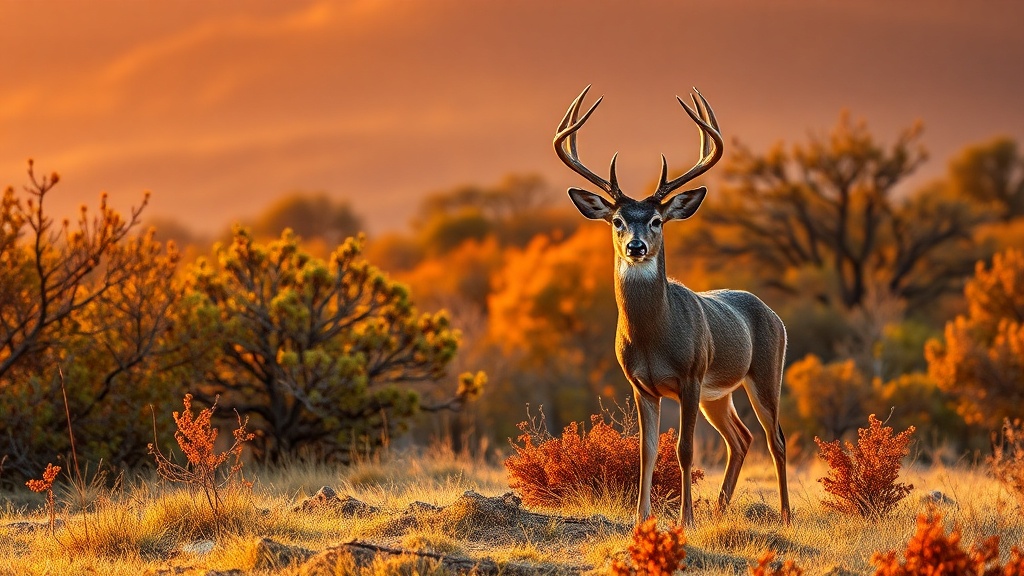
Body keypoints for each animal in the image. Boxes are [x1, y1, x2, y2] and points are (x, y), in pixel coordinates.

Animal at [553, 86, 791, 527]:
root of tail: (773, 315)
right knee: (741, 438)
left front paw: (686, 520)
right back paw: (721, 508)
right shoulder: (640, 385)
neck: (654, 338)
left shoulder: (690, 376)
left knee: (775, 438)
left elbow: (684, 449)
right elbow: (646, 452)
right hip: (720, 394)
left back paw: (784, 515)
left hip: (764, 373)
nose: (636, 246)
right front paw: (641, 518)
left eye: (657, 220)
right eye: (617, 220)